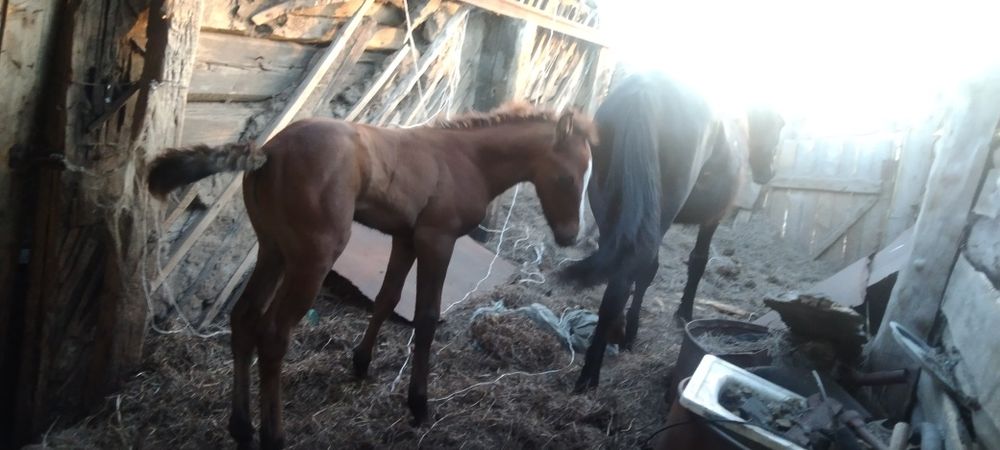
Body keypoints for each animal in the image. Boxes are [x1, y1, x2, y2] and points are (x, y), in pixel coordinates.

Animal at [146, 102, 596, 450]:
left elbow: (386, 297)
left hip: (272, 249)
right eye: (567, 177)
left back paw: (241, 427)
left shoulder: (405, 237)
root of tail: (269, 150)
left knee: (243, 318)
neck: (465, 160)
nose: (570, 236)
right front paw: (418, 404)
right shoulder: (437, 239)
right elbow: (426, 317)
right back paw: (274, 436)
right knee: (273, 334)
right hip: (313, 257)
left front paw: (361, 364)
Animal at [563, 72, 785, 392]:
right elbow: (698, 261)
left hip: (608, 205)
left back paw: (613, 337)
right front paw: (684, 314)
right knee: (631, 276)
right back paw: (594, 371)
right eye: (779, 124)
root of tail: (644, 91)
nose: (769, 172)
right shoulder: (714, 218)